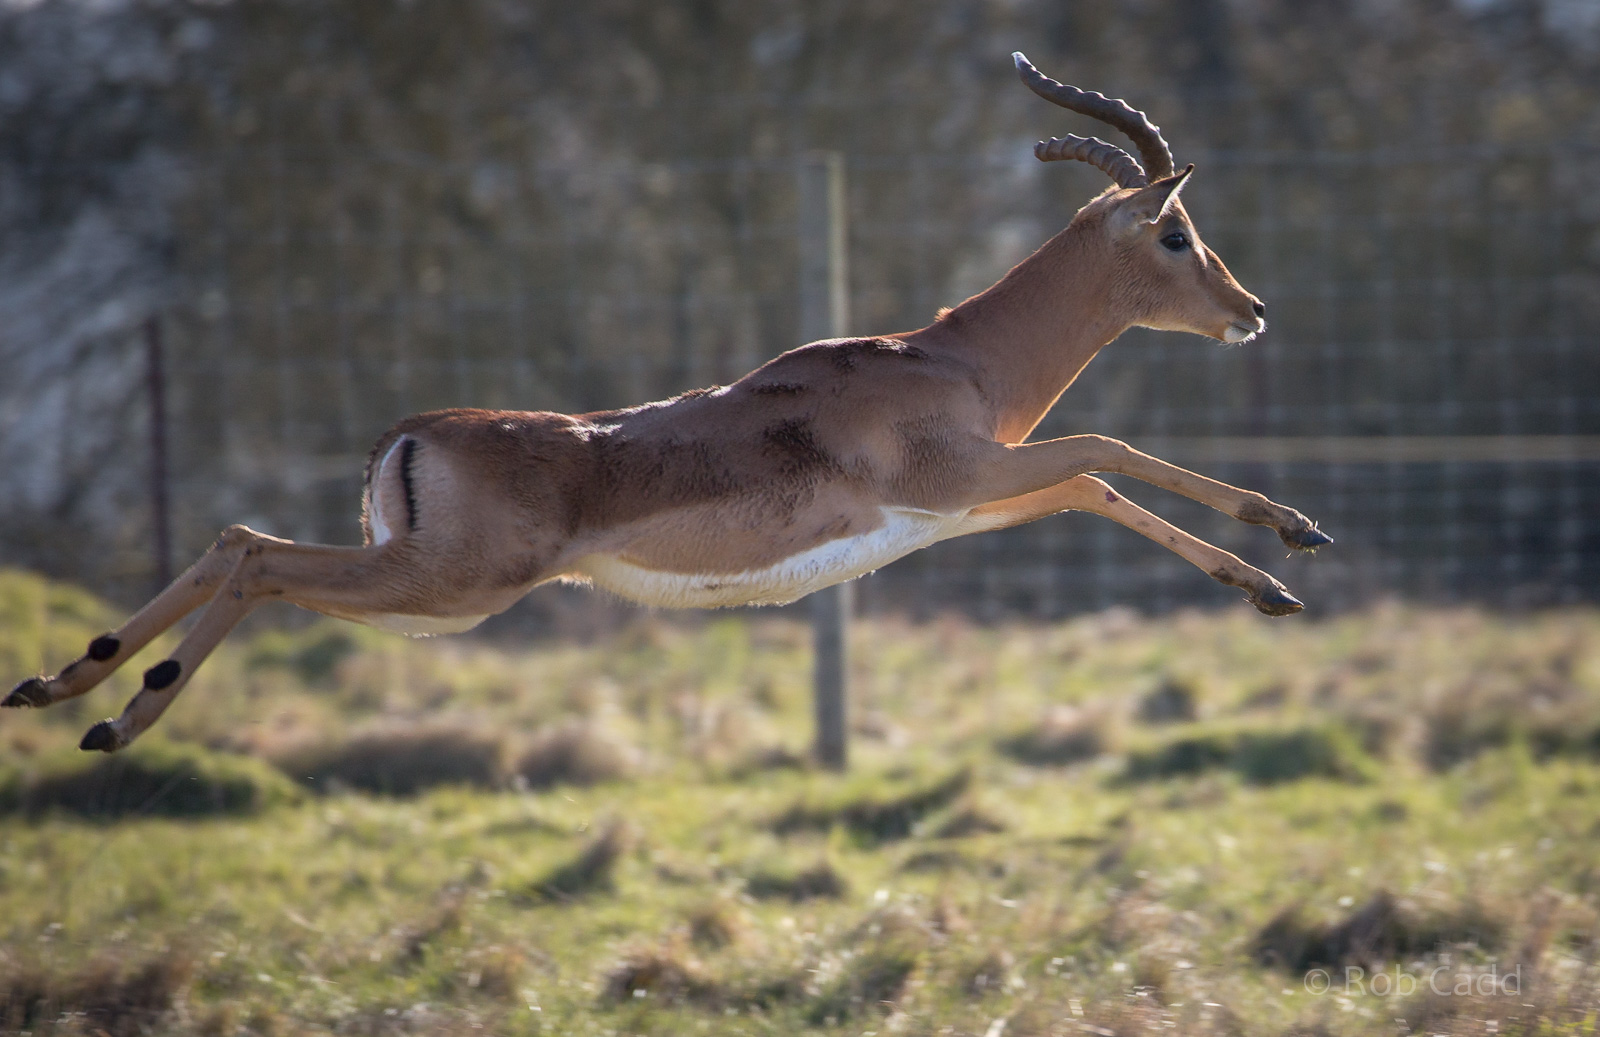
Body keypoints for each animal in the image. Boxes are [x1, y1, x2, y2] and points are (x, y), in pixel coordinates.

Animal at [6, 53, 1330, 752]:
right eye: (1175, 231)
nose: (1254, 308)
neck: (949, 361)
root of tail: (410, 434)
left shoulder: (968, 504)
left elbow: (1095, 479)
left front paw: (1274, 575)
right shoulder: (964, 475)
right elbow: (1108, 446)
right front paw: (1290, 545)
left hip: (425, 581)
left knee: (233, 535)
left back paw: (63, 687)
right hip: (451, 588)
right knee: (260, 558)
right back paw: (120, 718)